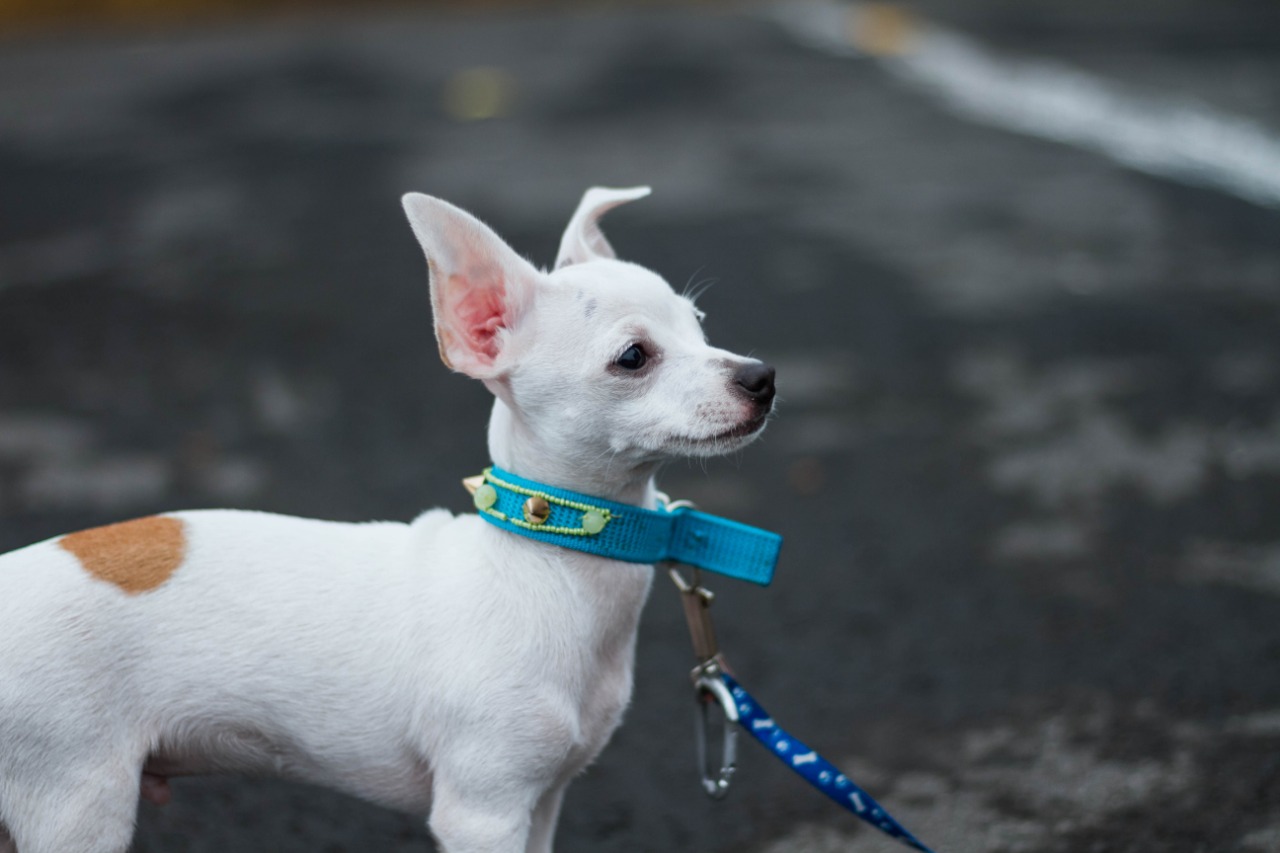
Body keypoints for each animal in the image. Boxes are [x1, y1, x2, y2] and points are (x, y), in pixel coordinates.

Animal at [0, 188, 773, 850]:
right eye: (634, 357)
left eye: (701, 327)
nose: (760, 375)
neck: (550, 556)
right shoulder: (483, 812)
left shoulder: (544, 798)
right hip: (75, 801)